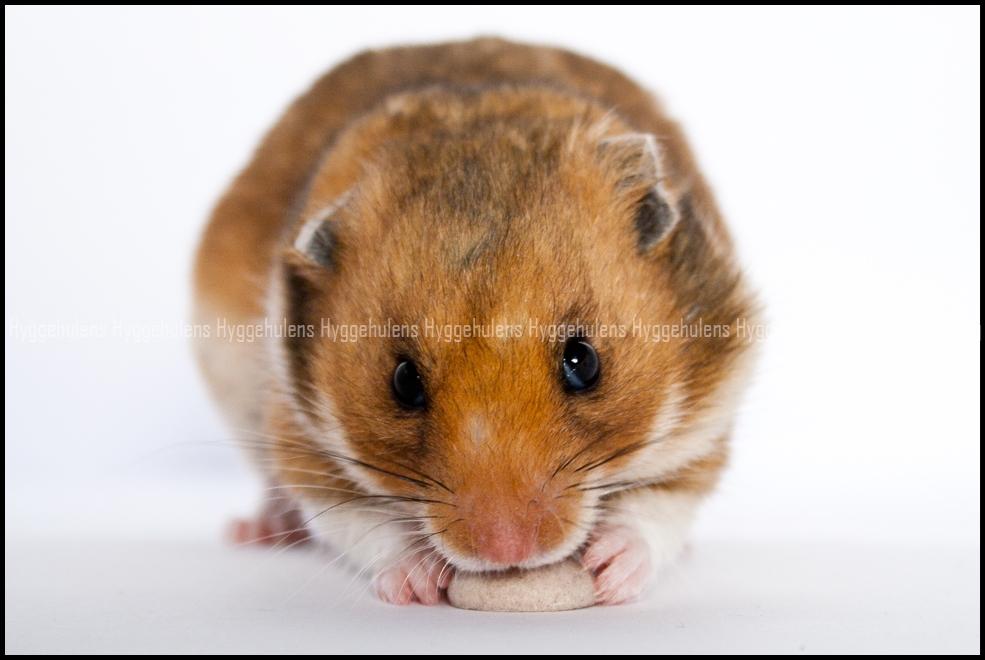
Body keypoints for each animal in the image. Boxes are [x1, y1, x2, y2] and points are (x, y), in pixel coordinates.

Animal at [193, 37, 759, 605]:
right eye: (403, 382)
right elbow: (358, 517)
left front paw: (609, 572)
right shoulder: (298, 429)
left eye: (585, 362)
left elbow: (661, 504)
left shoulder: (707, 414)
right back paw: (258, 531)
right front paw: (417, 583)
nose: (506, 551)